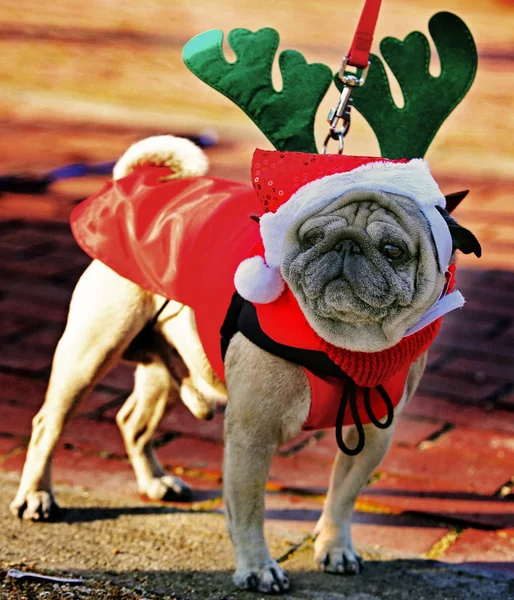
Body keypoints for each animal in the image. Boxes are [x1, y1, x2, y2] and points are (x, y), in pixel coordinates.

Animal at [10, 137, 478, 596]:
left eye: (393, 250)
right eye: (311, 237)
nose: (345, 245)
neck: (348, 345)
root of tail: (133, 186)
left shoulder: (373, 433)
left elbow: (343, 496)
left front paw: (334, 547)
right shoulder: (253, 434)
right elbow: (248, 508)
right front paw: (257, 569)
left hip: (166, 368)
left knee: (133, 422)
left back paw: (156, 482)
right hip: (93, 348)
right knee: (49, 422)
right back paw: (36, 496)